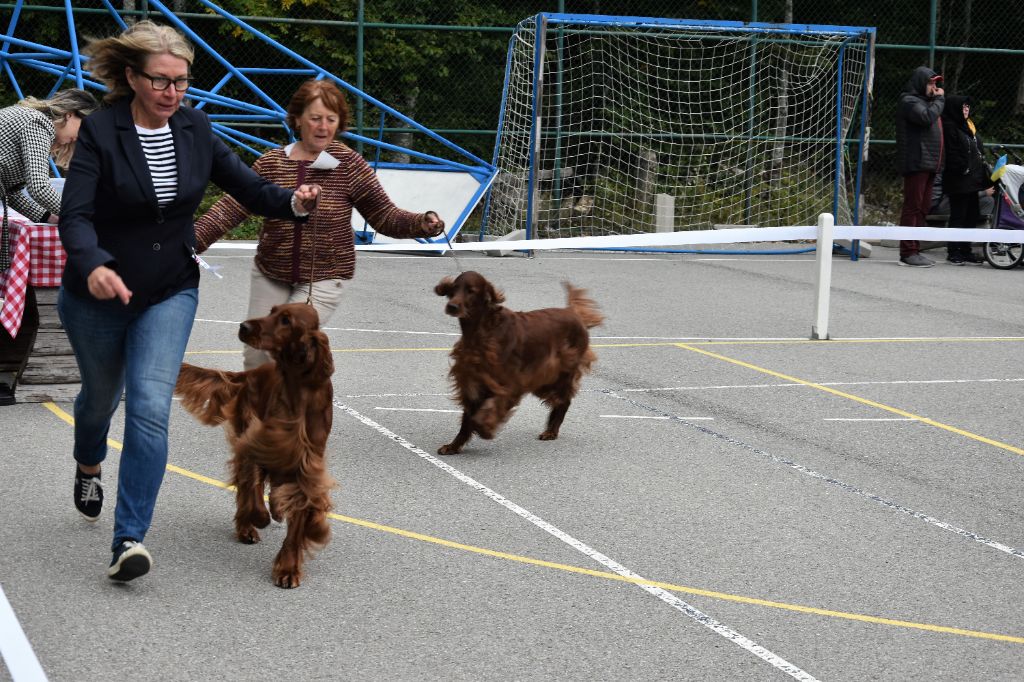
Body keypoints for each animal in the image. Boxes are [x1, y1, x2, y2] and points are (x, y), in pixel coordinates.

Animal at [175, 303, 335, 588]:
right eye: (272, 310)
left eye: (286, 320)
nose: (244, 326)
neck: (298, 391)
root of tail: (249, 374)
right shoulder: (259, 445)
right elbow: (254, 493)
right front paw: (259, 518)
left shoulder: (307, 468)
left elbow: (296, 524)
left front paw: (288, 569)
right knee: (246, 486)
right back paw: (246, 526)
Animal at [434, 271, 603, 455]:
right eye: (454, 289)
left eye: (471, 291)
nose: (452, 306)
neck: (483, 330)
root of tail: (573, 312)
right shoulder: (471, 380)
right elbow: (468, 418)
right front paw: (453, 446)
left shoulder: (509, 382)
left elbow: (488, 409)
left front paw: (485, 428)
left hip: (560, 373)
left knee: (564, 401)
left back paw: (551, 431)